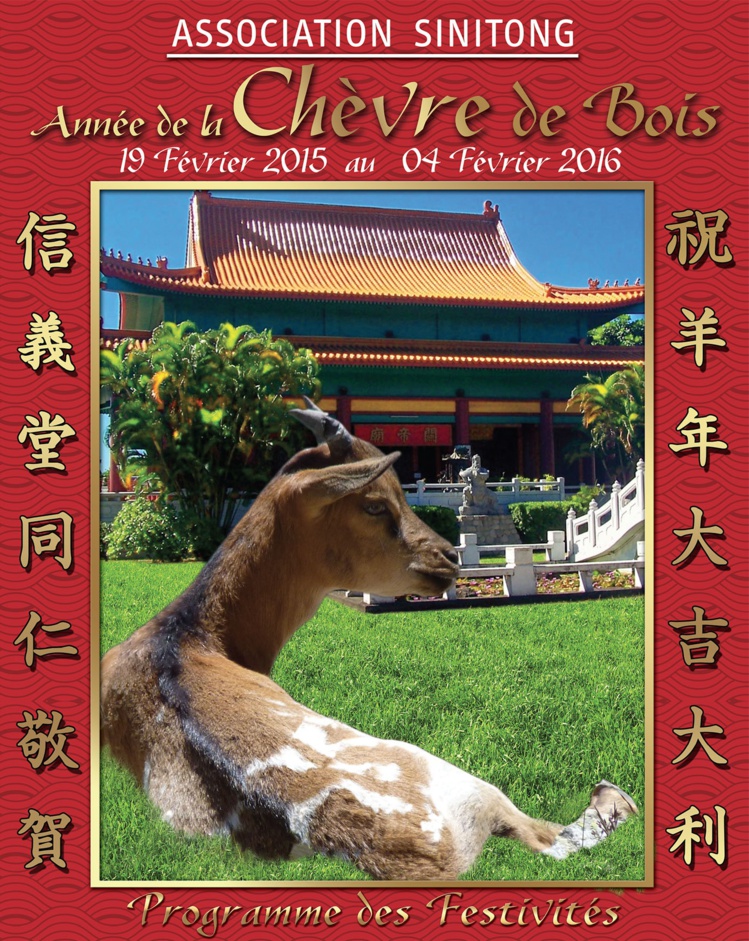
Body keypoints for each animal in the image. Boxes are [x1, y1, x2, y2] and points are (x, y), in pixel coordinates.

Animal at [100, 399, 636, 880]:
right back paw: (614, 797)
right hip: (460, 778)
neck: (194, 632)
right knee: (548, 834)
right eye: (374, 502)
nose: (448, 557)